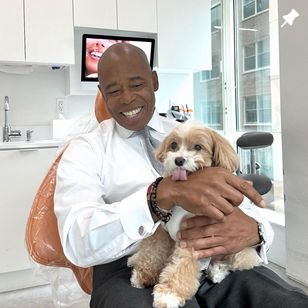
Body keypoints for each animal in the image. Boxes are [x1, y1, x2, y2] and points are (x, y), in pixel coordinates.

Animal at [127, 122, 260, 308]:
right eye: (173, 145)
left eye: (198, 147)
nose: (179, 160)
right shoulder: (161, 231)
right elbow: (153, 252)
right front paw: (142, 276)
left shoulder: (192, 239)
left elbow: (181, 266)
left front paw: (169, 295)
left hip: (242, 252)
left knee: (235, 263)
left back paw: (217, 271)